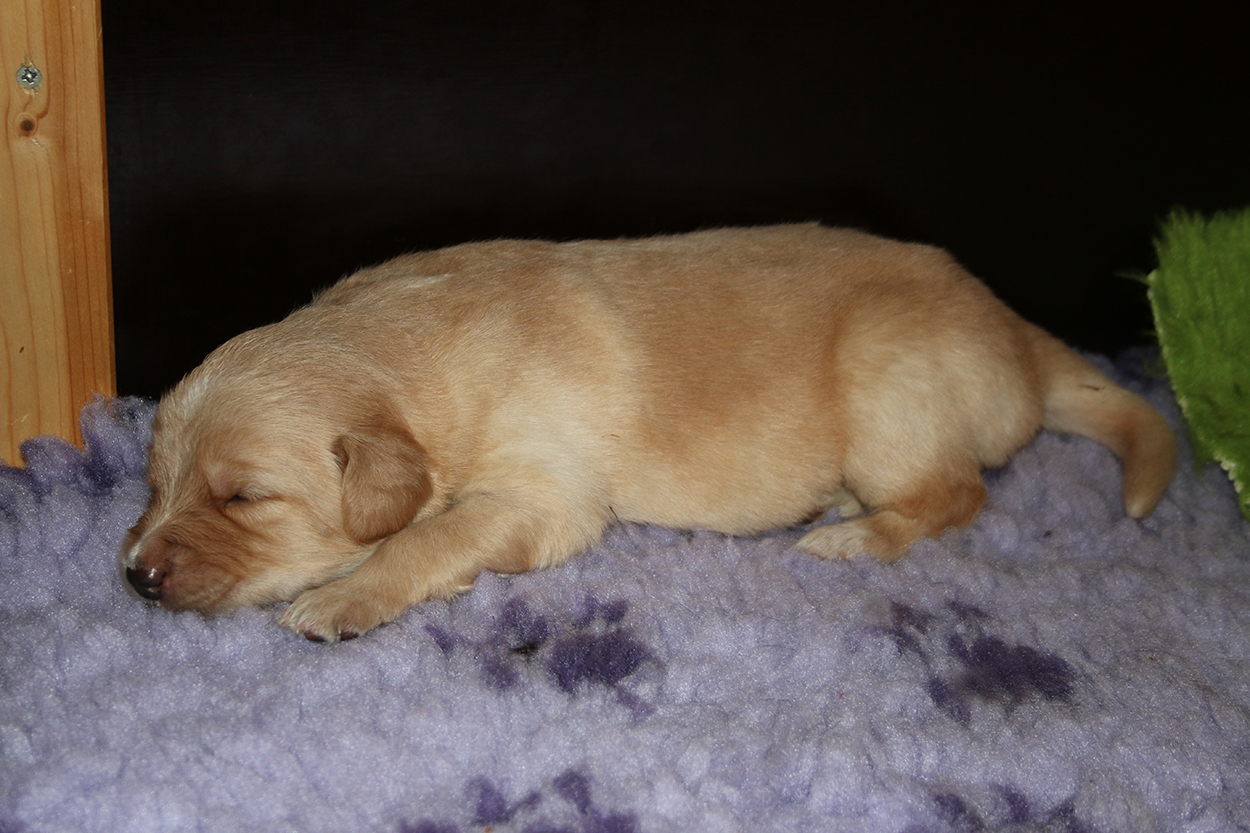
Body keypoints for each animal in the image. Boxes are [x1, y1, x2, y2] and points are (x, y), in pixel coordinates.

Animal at [122, 224, 1176, 641]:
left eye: (243, 496)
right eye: (153, 482)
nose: (133, 576)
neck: (405, 347)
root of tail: (1018, 334)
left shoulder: (543, 496)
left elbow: (427, 535)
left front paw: (341, 597)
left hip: (888, 374)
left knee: (959, 490)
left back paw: (851, 535)